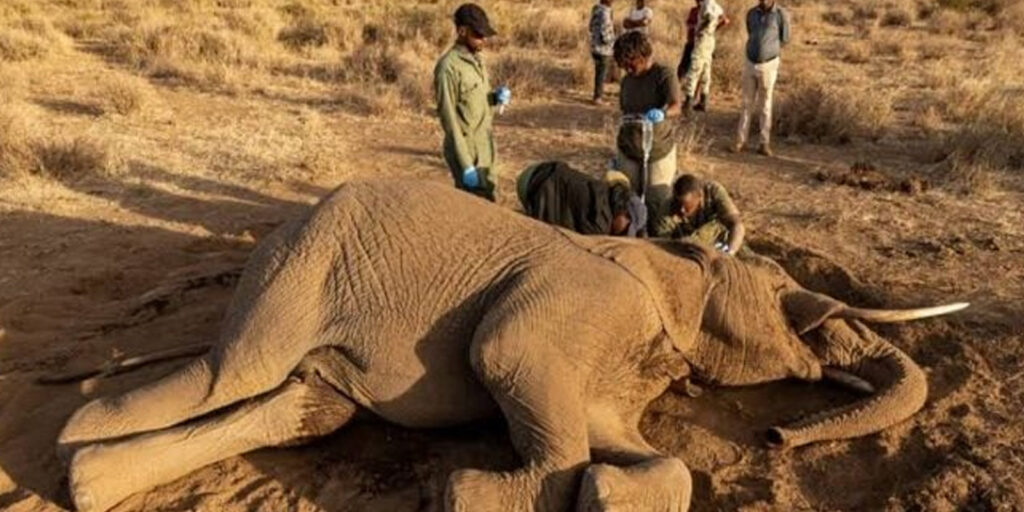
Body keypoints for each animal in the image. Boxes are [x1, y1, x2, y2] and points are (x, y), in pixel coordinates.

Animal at [57, 181, 968, 512]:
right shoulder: (580, 306)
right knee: (227, 373)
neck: (665, 260)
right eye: (785, 297)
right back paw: (74, 435)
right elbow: (504, 355)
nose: (778, 434)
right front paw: (469, 491)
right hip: (299, 264)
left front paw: (609, 485)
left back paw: (87, 482)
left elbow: (636, 449)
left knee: (301, 409)